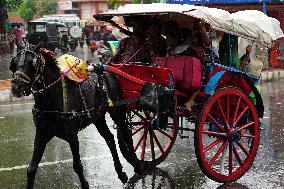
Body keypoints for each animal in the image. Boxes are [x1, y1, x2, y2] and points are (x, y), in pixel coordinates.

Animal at [9, 47, 142, 189]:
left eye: (32, 63)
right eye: (14, 63)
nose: (16, 87)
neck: (52, 100)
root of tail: (107, 70)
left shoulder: (72, 136)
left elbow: (77, 166)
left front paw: (85, 184)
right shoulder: (41, 134)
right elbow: (31, 168)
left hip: (117, 111)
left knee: (126, 133)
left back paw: (137, 165)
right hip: (97, 117)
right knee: (110, 138)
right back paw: (120, 172)